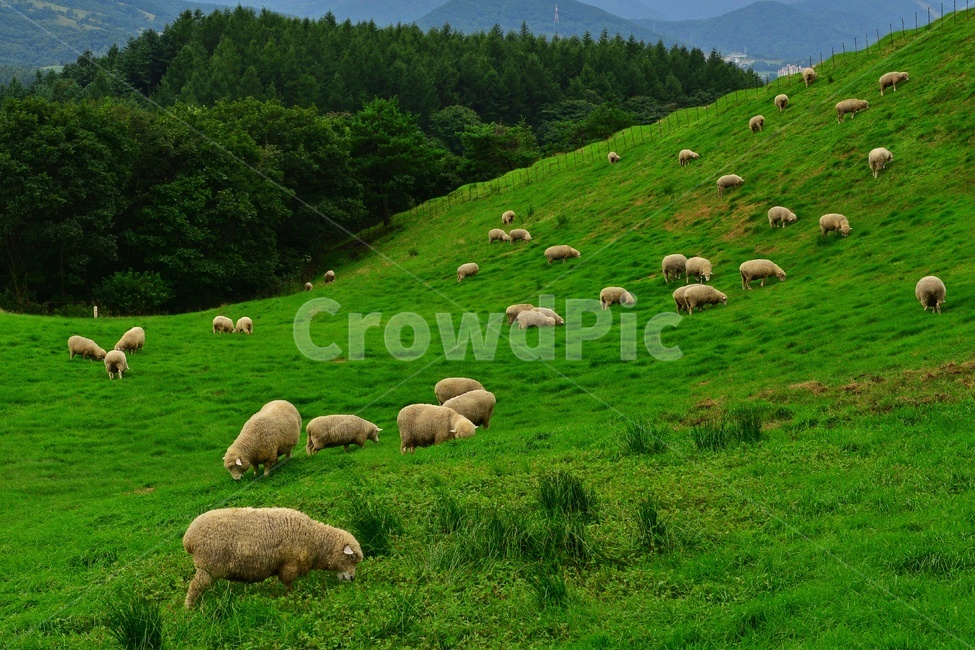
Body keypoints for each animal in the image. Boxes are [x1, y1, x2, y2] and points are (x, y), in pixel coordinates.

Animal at [182, 507, 363, 608]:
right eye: (351, 557)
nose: (352, 578)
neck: (315, 540)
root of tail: (188, 538)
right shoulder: (289, 566)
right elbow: (288, 585)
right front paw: (293, 598)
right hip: (208, 566)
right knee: (194, 587)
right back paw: (189, 609)